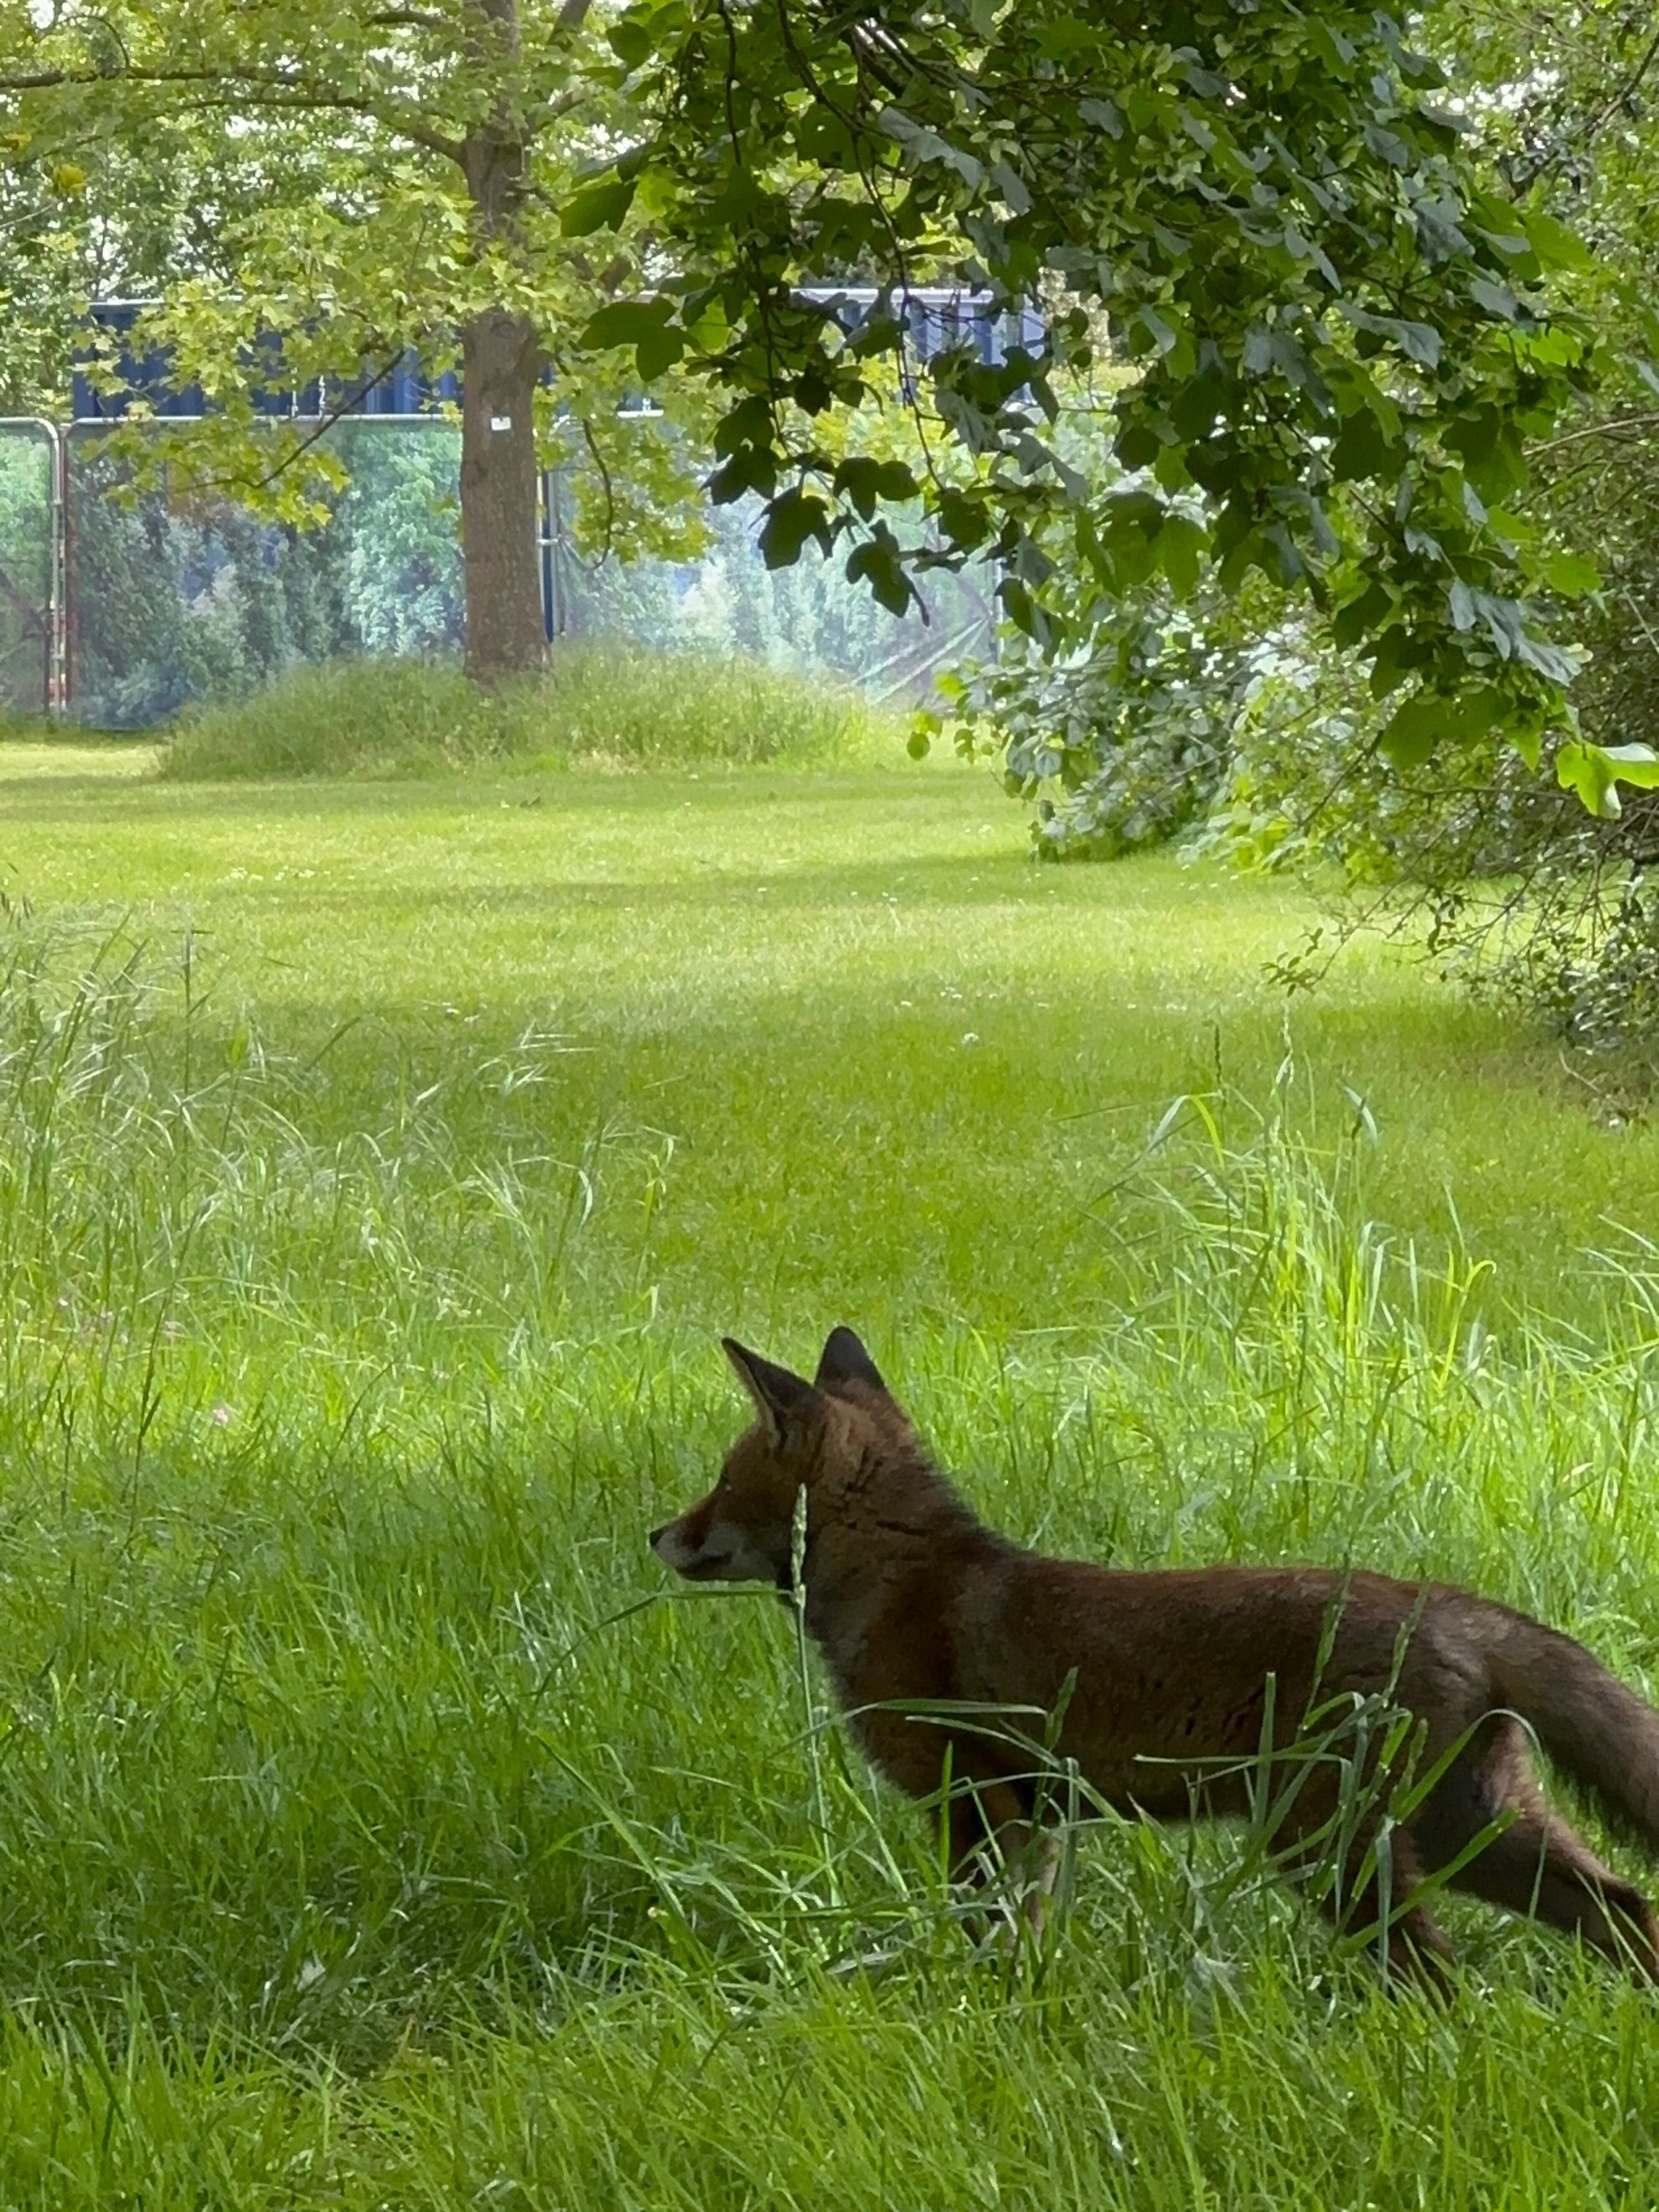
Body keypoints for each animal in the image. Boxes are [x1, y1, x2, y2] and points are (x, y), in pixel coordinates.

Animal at [649, 1326, 1659, 1988]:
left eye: (724, 1483)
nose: (658, 1534)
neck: (907, 1578)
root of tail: (1451, 1605)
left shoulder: (979, 1801)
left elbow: (991, 1937)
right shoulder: (1037, 1816)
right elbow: (1029, 1941)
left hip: (1332, 1847)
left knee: (1437, 1977)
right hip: (1472, 1830)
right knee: (1627, 1908)